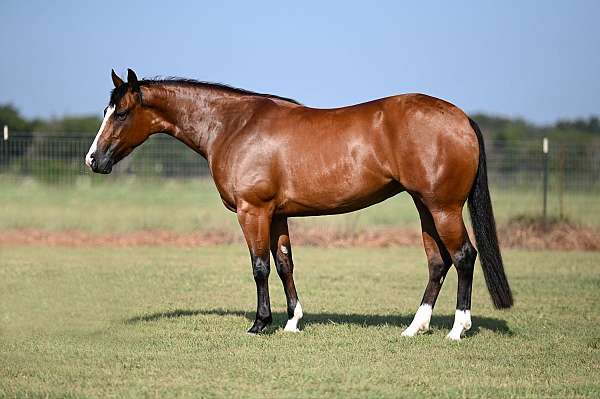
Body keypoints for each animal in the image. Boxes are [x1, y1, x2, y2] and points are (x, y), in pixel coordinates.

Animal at [86, 69, 512, 340]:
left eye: (121, 112)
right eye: (107, 111)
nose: (93, 160)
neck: (233, 125)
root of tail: (461, 117)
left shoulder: (253, 211)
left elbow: (259, 266)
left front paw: (260, 324)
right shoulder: (277, 214)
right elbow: (284, 264)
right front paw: (292, 321)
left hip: (443, 207)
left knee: (464, 256)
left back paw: (457, 330)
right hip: (425, 207)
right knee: (438, 262)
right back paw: (414, 328)